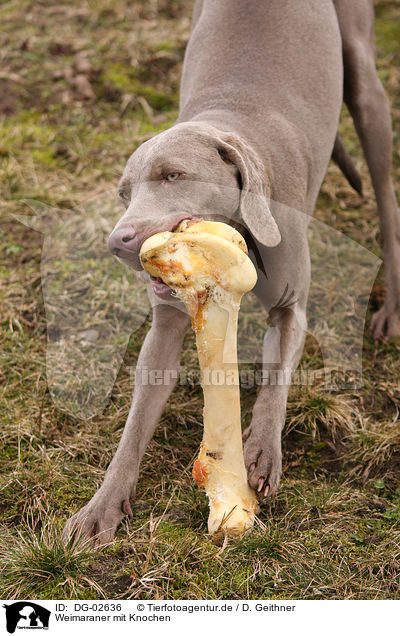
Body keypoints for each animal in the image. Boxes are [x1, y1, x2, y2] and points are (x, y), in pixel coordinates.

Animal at [62, 0, 396, 548]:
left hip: (367, 86)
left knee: (387, 197)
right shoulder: (165, 327)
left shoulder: (289, 308)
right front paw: (103, 506)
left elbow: (275, 383)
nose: (117, 242)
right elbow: (135, 423)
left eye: (172, 175)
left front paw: (260, 452)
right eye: (124, 192)